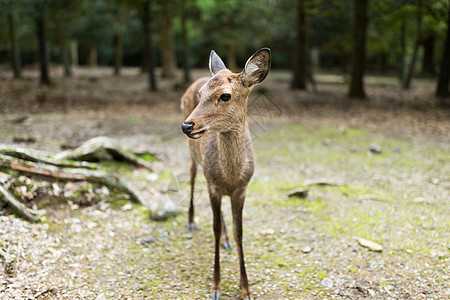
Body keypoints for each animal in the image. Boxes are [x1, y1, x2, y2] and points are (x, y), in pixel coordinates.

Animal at [180, 48, 270, 300]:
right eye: (201, 95)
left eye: (225, 96)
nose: (187, 126)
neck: (231, 178)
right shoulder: (212, 186)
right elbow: (215, 228)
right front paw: (215, 287)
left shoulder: (242, 189)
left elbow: (240, 232)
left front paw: (246, 289)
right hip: (194, 155)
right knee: (192, 175)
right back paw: (191, 222)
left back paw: (227, 241)